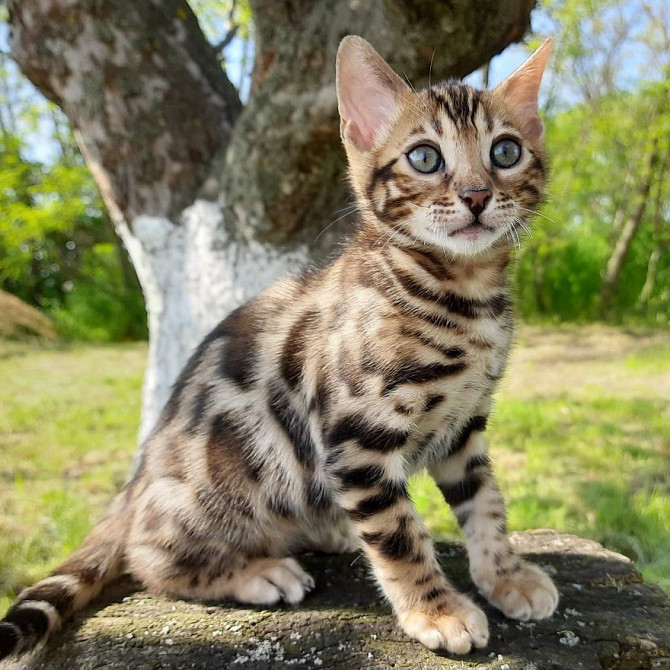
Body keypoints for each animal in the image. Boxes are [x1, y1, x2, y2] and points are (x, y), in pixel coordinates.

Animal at [0, 34, 560, 660]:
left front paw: (505, 577)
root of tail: (132, 489)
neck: (461, 294)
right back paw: (258, 571)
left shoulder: (464, 426)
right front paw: (435, 610)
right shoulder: (356, 436)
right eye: (424, 158)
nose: (477, 195)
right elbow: (400, 535)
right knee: (149, 558)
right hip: (215, 491)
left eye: (506, 152)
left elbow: (485, 503)